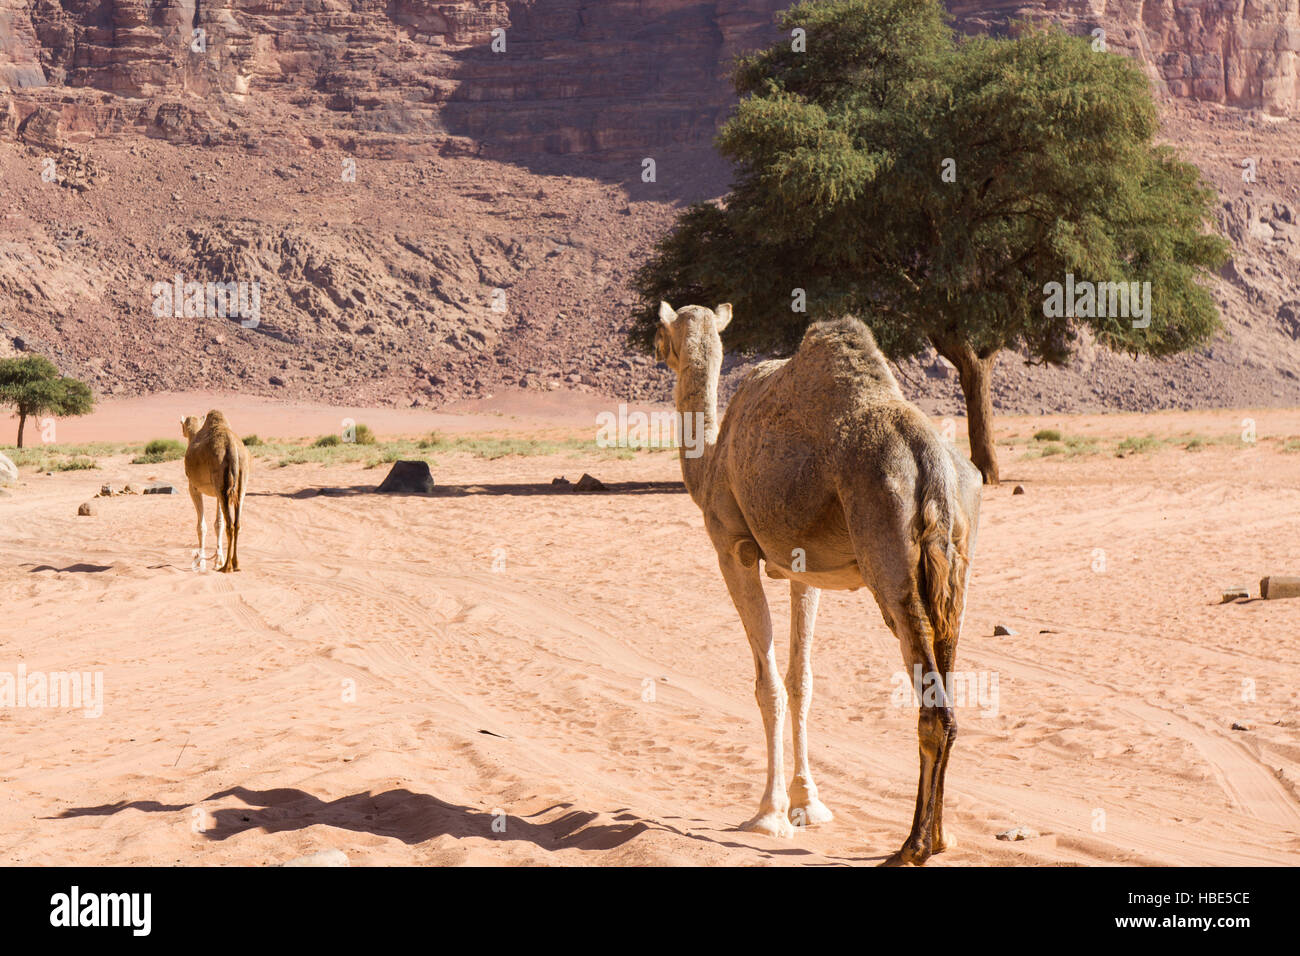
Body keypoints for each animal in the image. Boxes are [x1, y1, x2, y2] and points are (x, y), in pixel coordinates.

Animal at [180, 408, 250, 572]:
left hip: (221, 483)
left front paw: (201, 563)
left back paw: (227, 566)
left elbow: (201, 526)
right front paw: (217, 560)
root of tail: (232, 447)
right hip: (239, 483)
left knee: (230, 525)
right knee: (237, 523)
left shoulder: (193, 488)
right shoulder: (217, 492)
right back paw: (235, 564)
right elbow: (218, 524)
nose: (182, 432)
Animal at [655, 304, 977, 868]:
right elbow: (800, 680)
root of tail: (931, 464)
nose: (655, 348)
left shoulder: (733, 549)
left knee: (932, 708)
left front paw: (768, 815)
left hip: (889, 557)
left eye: (662, 332)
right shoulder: (803, 571)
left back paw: (911, 846)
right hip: (955, 567)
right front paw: (808, 805)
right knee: (950, 693)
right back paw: (939, 837)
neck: (712, 457)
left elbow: (767, 684)